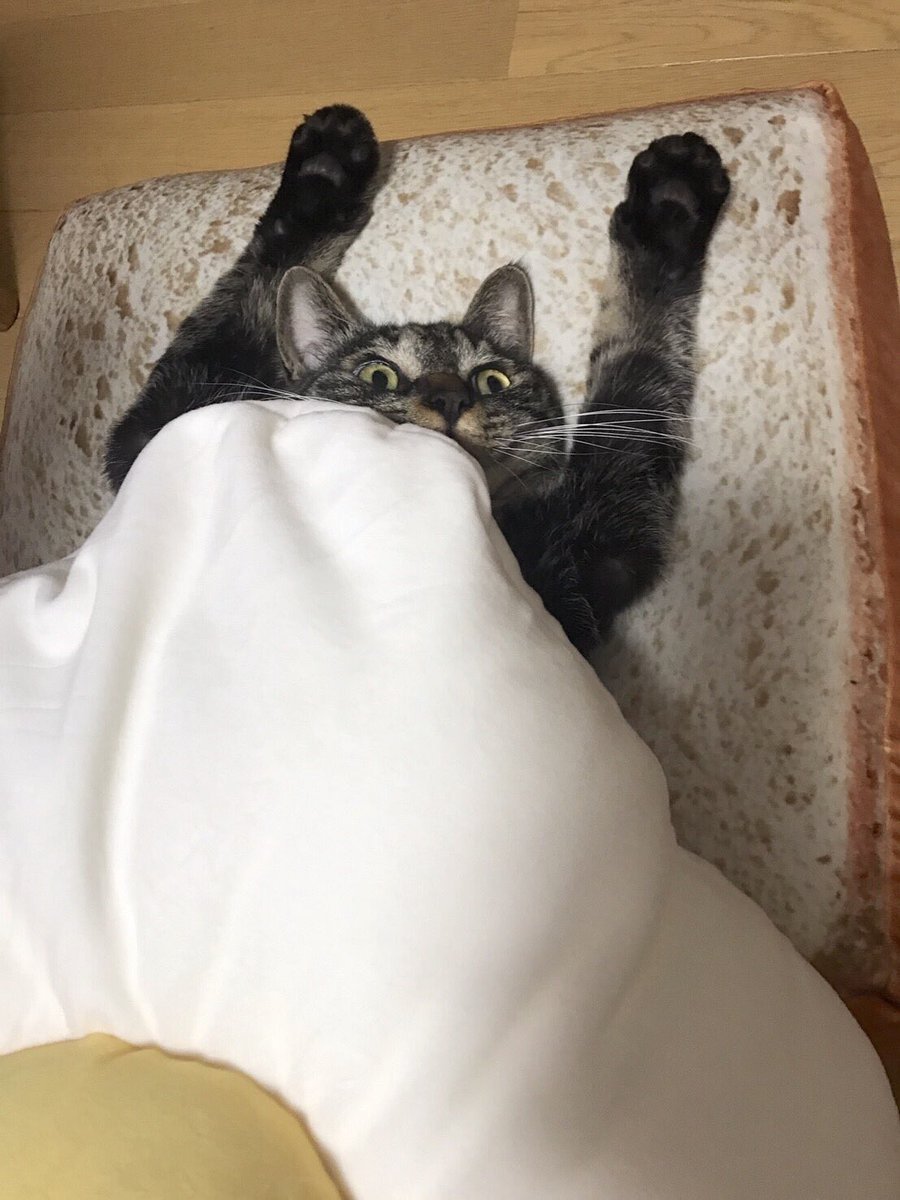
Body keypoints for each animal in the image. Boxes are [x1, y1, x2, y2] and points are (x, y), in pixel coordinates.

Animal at [105, 105, 730, 656]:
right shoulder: (160, 426)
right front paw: (325, 166)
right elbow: (250, 287)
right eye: (378, 374)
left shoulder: (601, 531)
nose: (447, 396)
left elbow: (637, 350)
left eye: (492, 381)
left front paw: (669, 203)